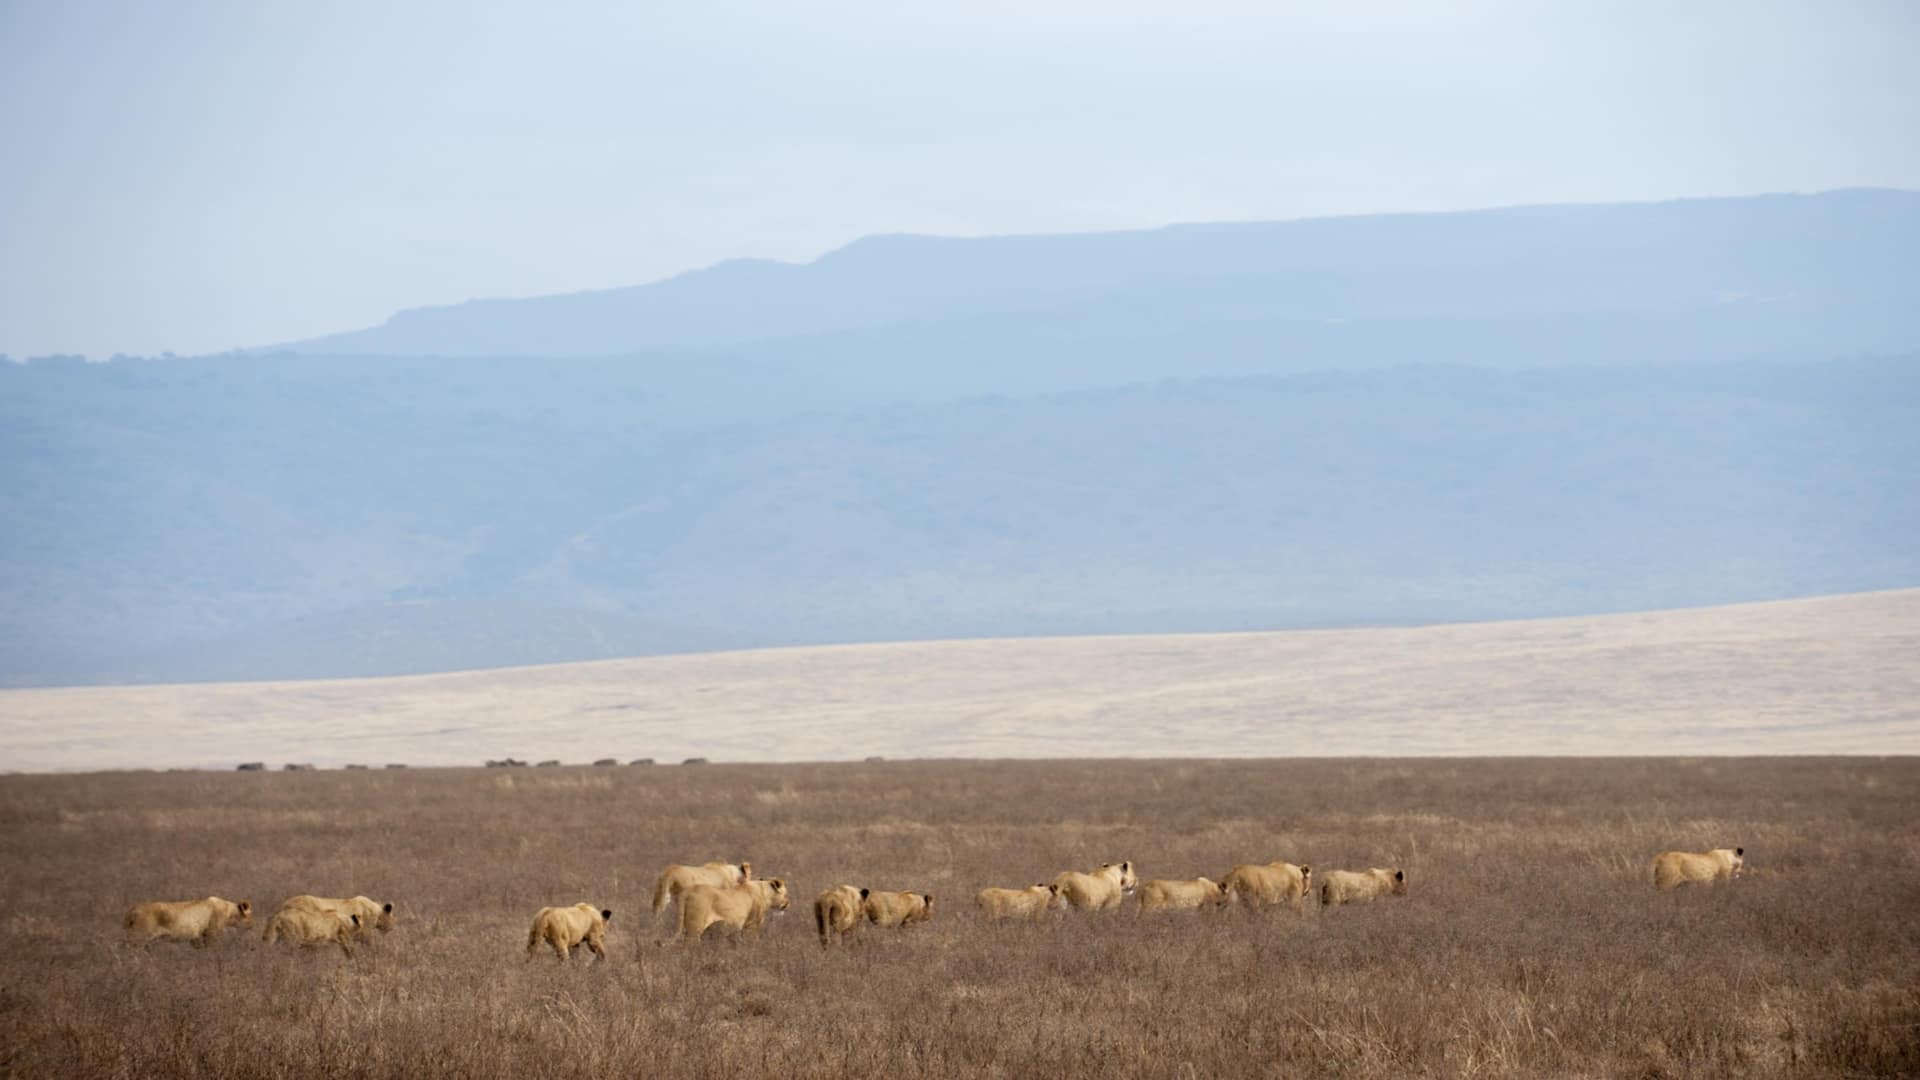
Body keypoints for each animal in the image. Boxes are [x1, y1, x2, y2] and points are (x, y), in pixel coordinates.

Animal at [123, 897, 253, 947]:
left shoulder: (196, 938)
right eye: (251, 915)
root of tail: (132, 911)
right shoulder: (211, 933)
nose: (253, 925)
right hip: (139, 938)